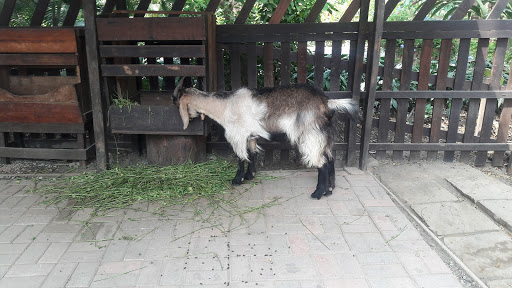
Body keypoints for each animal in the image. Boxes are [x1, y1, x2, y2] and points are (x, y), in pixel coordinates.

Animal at [174, 79, 358, 200]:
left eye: (175, 100)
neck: (224, 106)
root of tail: (327, 102)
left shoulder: (237, 135)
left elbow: (240, 158)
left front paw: (237, 180)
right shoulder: (250, 136)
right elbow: (251, 154)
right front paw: (250, 175)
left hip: (310, 135)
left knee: (322, 163)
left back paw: (318, 193)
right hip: (324, 136)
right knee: (330, 159)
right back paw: (330, 190)